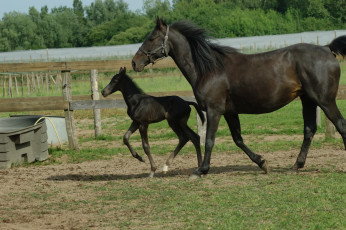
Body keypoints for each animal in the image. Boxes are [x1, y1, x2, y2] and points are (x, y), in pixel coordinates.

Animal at [132, 17, 346, 178]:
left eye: (152, 38)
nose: (135, 62)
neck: (209, 69)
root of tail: (326, 48)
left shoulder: (214, 110)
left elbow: (209, 140)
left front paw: (202, 170)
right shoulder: (229, 112)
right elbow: (238, 139)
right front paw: (262, 163)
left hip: (324, 101)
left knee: (340, 125)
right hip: (307, 100)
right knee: (309, 130)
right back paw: (295, 166)